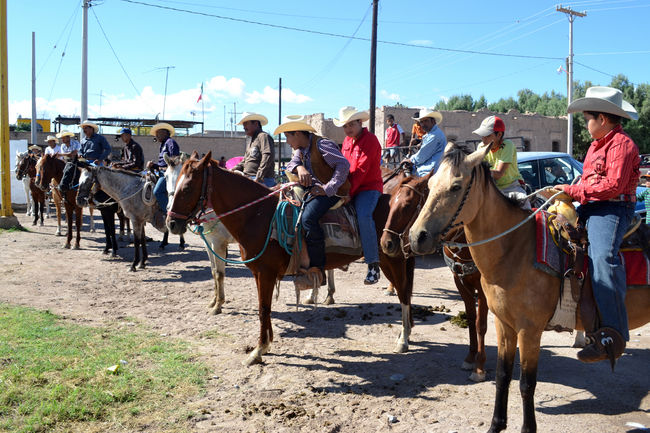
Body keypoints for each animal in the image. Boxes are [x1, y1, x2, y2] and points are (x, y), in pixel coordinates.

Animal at [167, 151, 415, 366]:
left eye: (187, 187)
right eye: (173, 183)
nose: (171, 223)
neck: (258, 215)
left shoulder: (263, 272)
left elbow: (262, 307)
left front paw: (258, 350)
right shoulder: (257, 272)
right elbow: (262, 306)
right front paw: (265, 343)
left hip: (392, 260)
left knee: (403, 293)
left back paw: (403, 339)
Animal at [380, 173, 488, 382]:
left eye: (407, 205)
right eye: (389, 203)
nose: (386, 243)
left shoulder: (484, 289)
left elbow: (481, 324)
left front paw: (479, 368)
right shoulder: (460, 282)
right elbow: (471, 318)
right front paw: (470, 358)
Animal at [408, 143, 650, 433]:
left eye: (456, 186)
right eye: (430, 183)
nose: (416, 237)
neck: (514, 249)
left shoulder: (530, 331)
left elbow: (526, 383)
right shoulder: (504, 325)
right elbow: (503, 375)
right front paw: (496, 425)